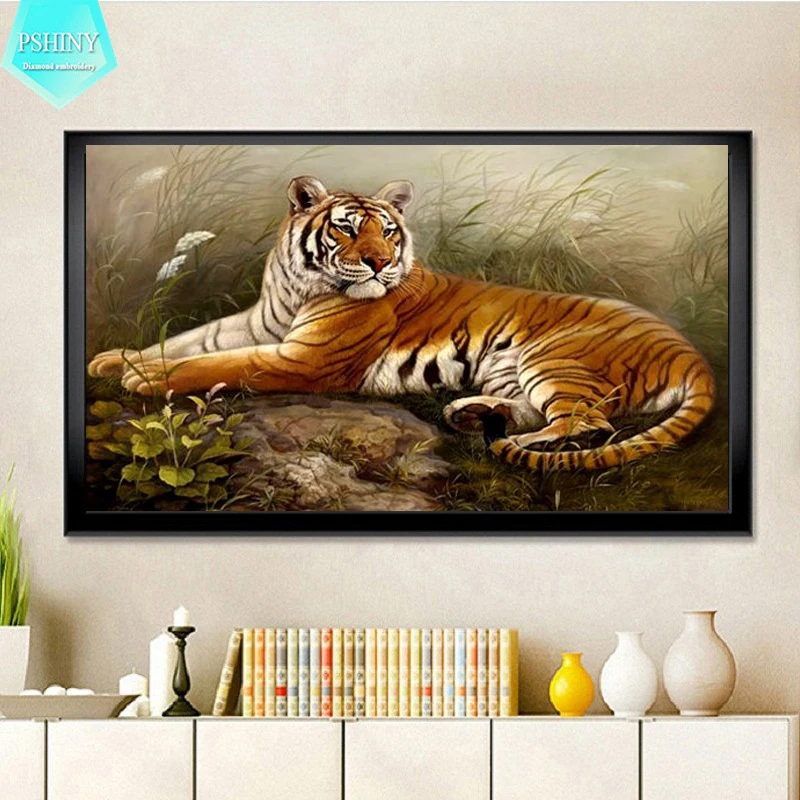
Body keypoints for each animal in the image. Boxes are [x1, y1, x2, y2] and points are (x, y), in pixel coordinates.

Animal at [88, 175, 715, 471]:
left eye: (387, 230)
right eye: (346, 228)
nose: (379, 262)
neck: (297, 286)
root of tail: (693, 354)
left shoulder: (301, 358)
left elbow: (216, 362)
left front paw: (143, 379)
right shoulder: (256, 326)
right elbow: (193, 339)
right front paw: (113, 359)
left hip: (553, 357)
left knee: (589, 424)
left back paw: (512, 439)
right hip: (513, 368)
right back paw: (471, 414)